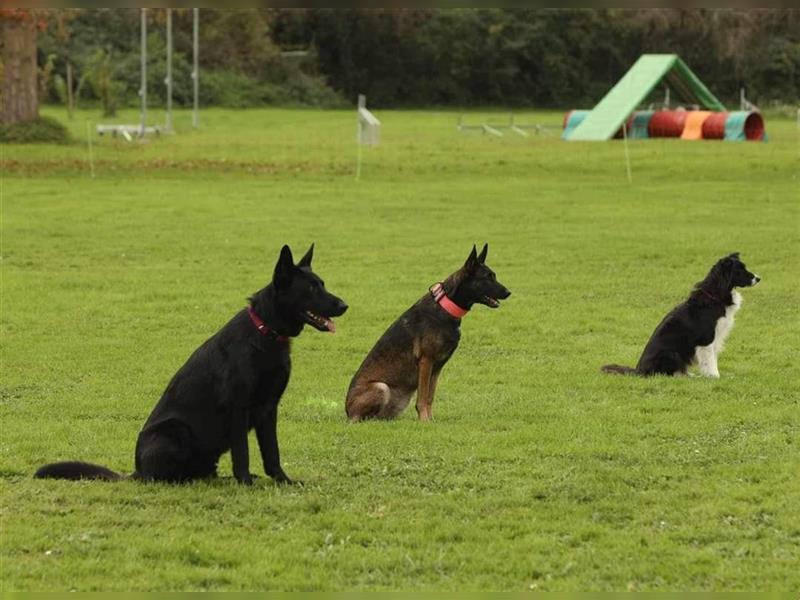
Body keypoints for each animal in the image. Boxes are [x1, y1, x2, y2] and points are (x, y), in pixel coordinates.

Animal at [36, 244, 346, 482]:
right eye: (311, 288)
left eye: (322, 284)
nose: (345, 306)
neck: (265, 332)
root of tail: (136, 471)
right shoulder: (239, 408)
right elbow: (243, 453)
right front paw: (246, 482)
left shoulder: (269, 410)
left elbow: (272, 453)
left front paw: (282, 481)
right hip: (176, 431)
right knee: (163, 477)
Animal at [346, 244, 510, 422]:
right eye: (487, 278)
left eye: (494, 276)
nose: (509, 292)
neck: (446, 306)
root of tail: (347, 412)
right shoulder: (426, 361)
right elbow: (423, 397)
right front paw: (424, 420)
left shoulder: (437, 367)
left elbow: (430, 396)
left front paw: (431, 420)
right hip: (381, 387)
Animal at [604, 254, 760, 380]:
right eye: (740, 270)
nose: (758, 278)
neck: (715, 294)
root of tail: (638, 371)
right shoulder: (707, 338)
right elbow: (710, 360)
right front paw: (714, 377)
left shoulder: (716, 337)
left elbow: (713, 358)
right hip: (671, 354)